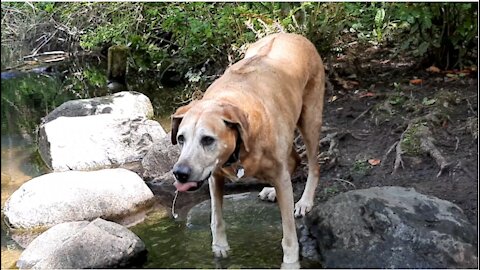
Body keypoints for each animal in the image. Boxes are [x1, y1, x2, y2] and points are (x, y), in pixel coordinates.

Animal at [171, 32, 324, 266]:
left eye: (207, 139)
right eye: (181, 138)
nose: (180, 173)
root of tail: (293, 34)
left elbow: (289, 231)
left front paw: (290, 261)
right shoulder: (215, 176)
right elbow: (216, 217)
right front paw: (220, 247)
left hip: (310, 120)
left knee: (313, 165)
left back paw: (304, 201)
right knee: (294, 161)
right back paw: (272, 190)